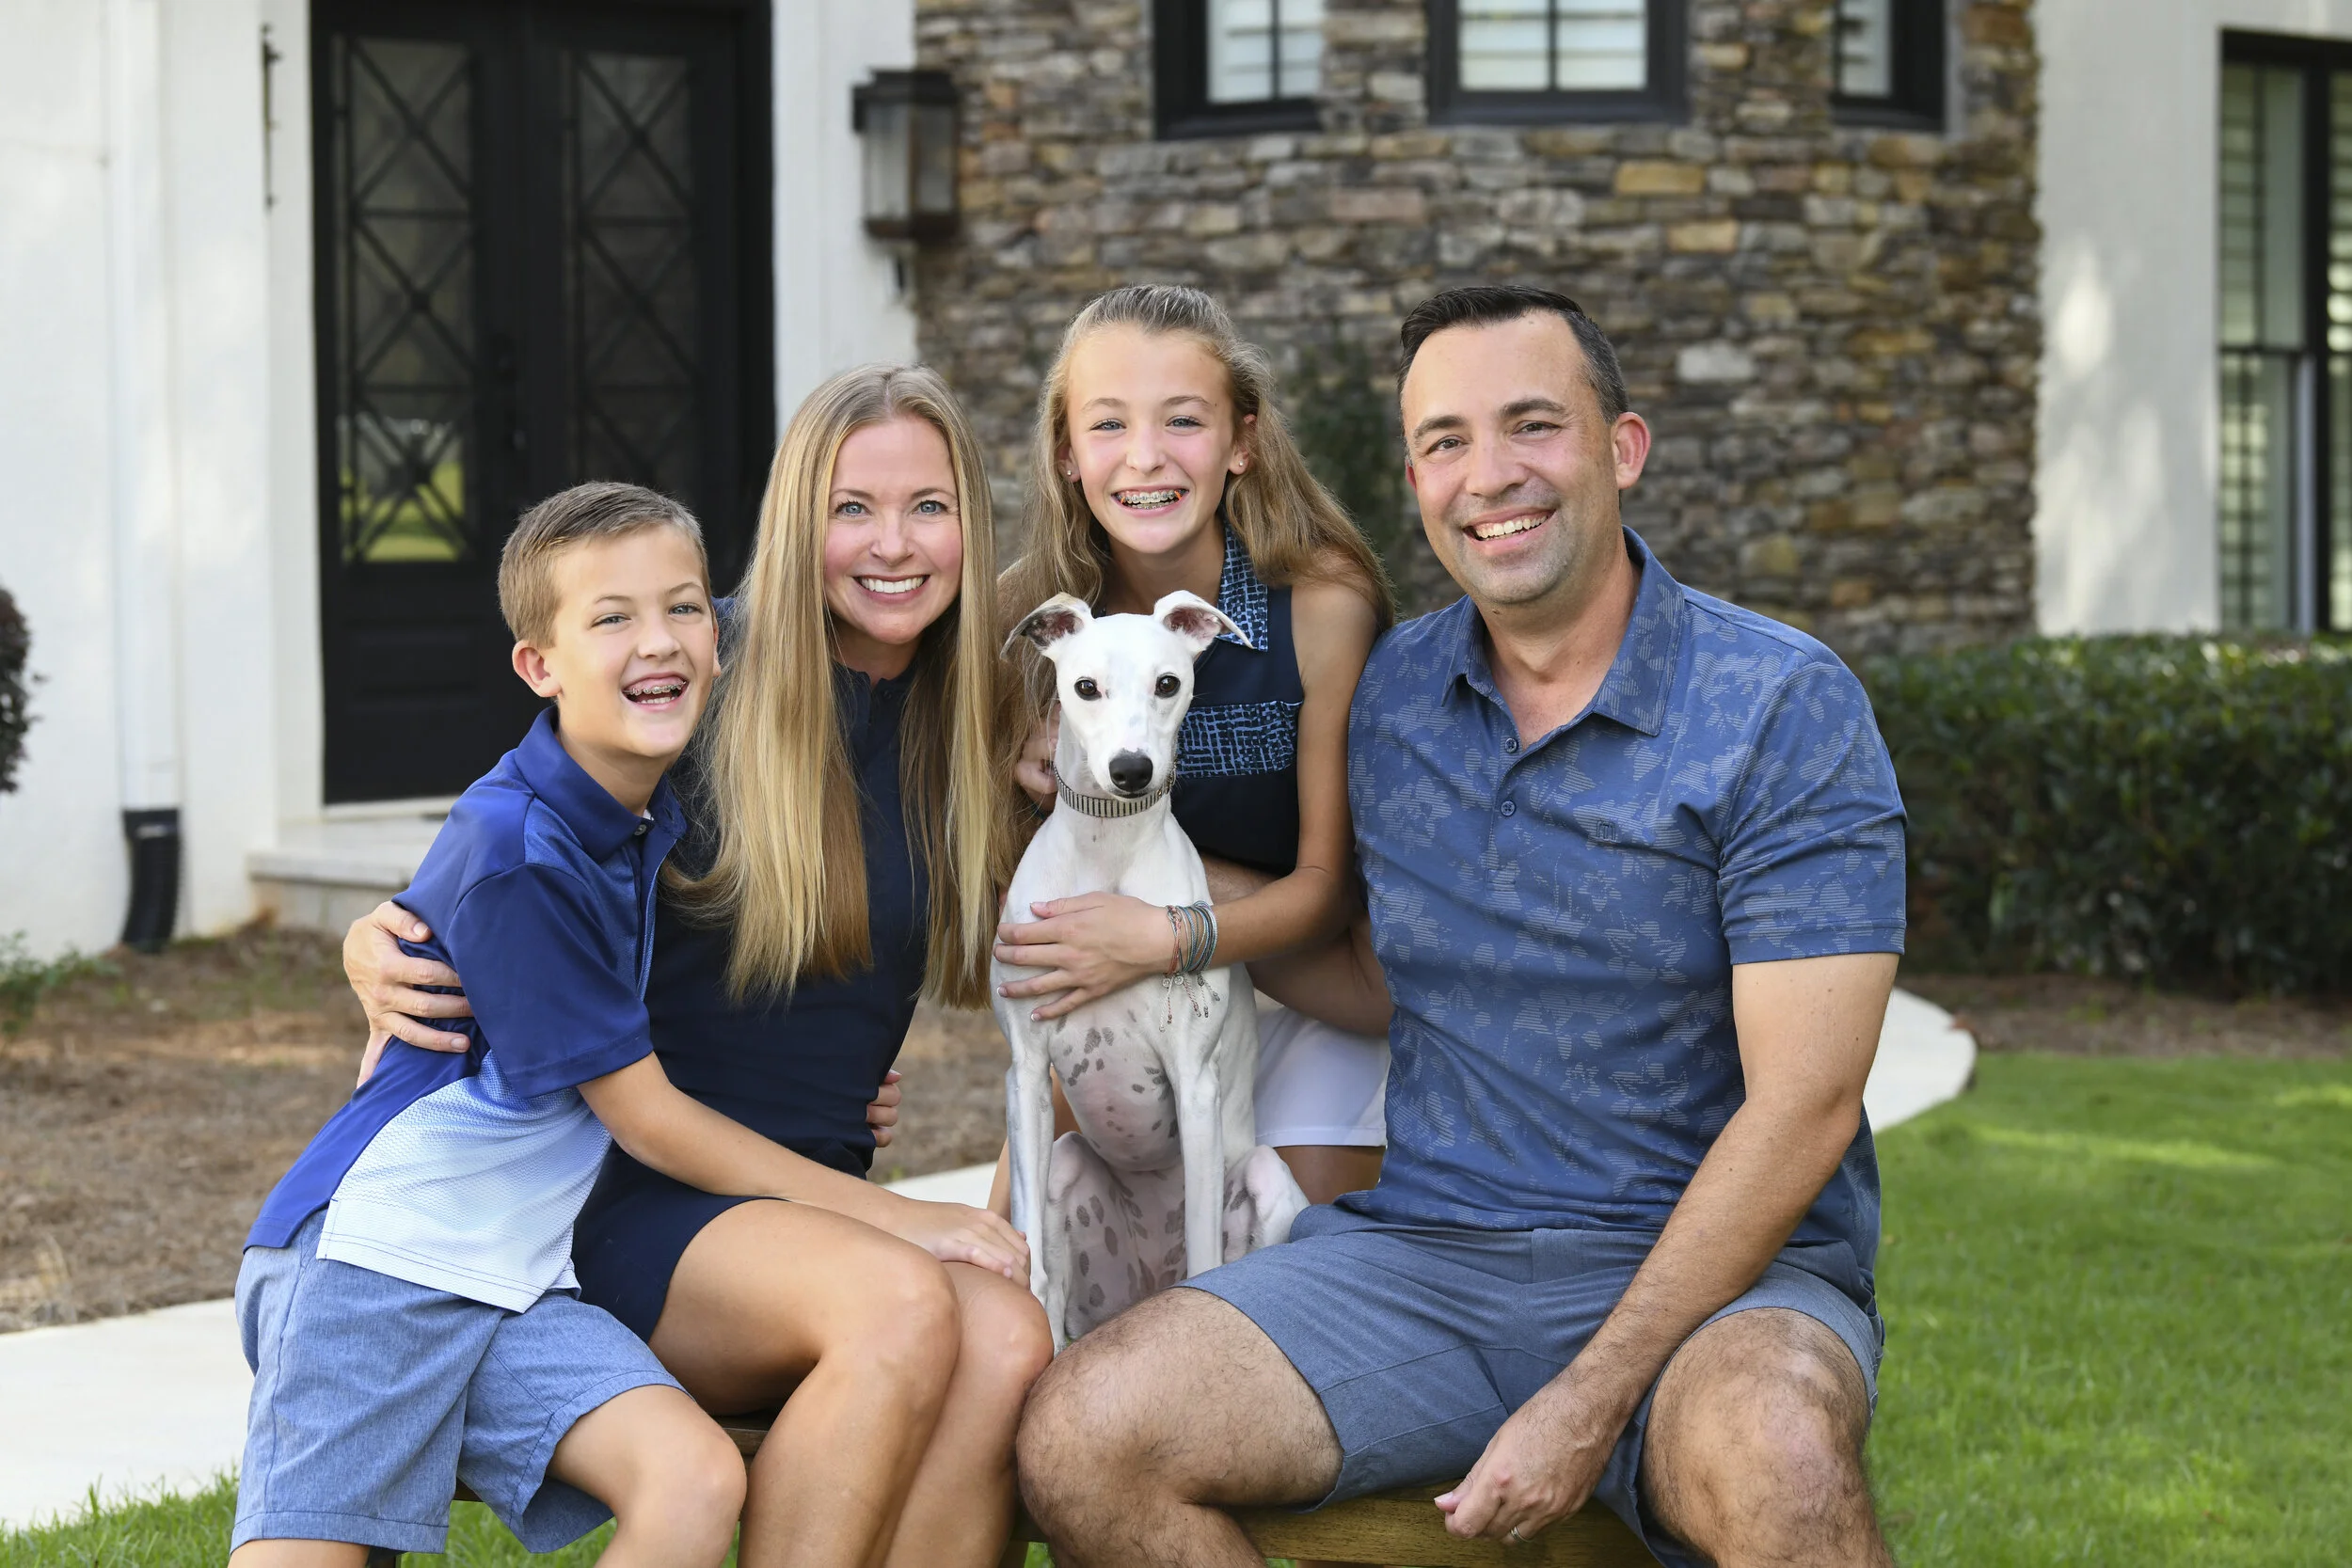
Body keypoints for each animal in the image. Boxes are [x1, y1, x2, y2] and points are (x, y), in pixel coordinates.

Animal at [995, 590, 1309, 1349]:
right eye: (1085, 687)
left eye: (1168, 683)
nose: (1131, 770)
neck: (1107, 851)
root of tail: (1141, 1292)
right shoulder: (1025, 1073)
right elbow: (1032, 1270)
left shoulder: (1194, 1083)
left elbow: (1203, 1255)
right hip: (1065, 1164)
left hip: (1266, 1177)